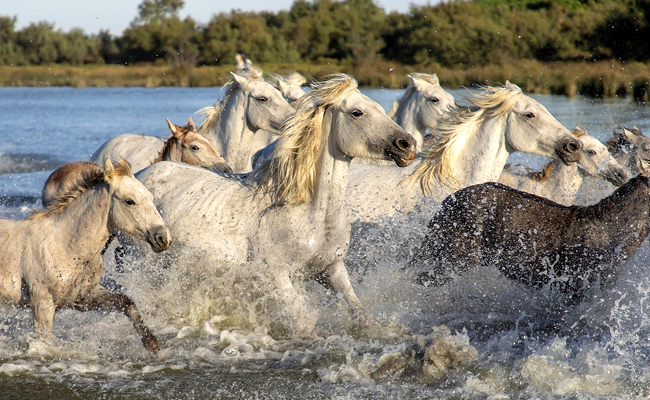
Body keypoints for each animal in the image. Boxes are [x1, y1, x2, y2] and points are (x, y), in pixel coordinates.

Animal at [137, 73, 416, 336]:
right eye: (357, 112)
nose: (407, 144)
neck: (311, 214)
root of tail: (141, 174)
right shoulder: (278, 277)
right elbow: (303, 323)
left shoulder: (332, 270)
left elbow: (360, 315)